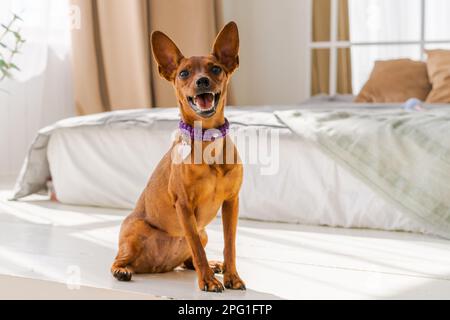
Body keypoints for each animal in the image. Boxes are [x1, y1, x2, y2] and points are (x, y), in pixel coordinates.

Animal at [110, 21, 244, 292]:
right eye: (184, 73)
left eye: (216, 68)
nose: (202, 81)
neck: (208, 143)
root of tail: (156, 267)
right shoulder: (184, 205)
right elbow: (196, 248)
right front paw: (208, 282)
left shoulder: (231, 202)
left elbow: (230, 245)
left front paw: (231, 276)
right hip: (135, 230)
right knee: (119, 260)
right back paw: (122, 270)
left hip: (204, 232)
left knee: (189, 260)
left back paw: (215, 265)